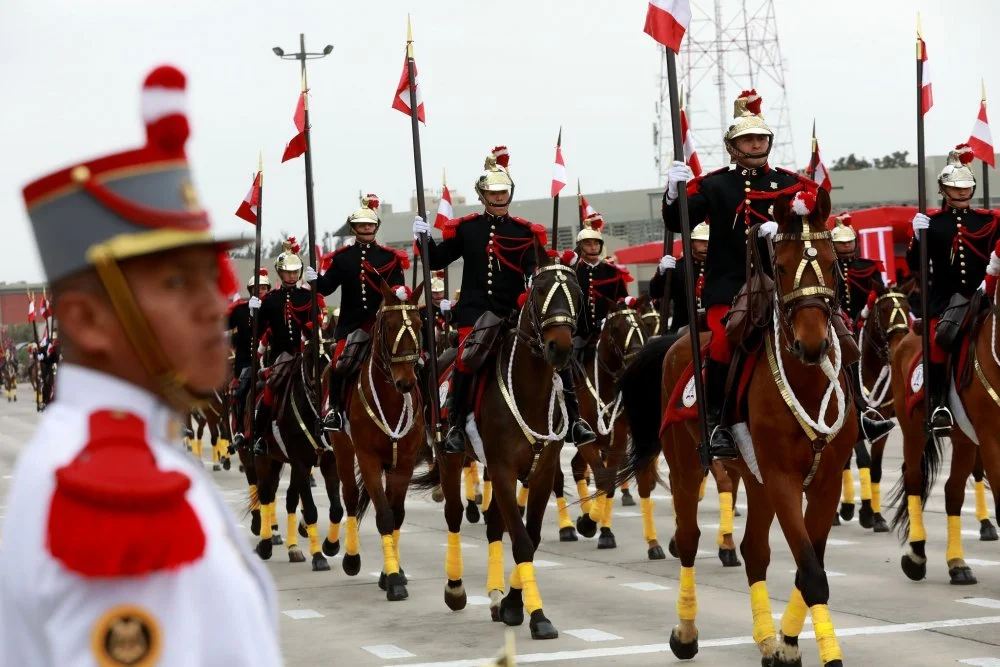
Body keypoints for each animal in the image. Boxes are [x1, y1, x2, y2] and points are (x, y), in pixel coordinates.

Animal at [332, 280, 426, 604]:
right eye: (390, 326)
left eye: (419, 324)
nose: (406, 382)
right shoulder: (368, 459)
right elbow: (384, 515)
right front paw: (394, 580)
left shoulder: (405, 462)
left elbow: (396, 515)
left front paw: (392, 572)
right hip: (342, 446)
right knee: (349, 496)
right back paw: (349, 558)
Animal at [414, 241, 584, 640]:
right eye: (539, 290)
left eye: (578, 293)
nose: (559, 348)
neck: (530, 389)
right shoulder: (504, 468)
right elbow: (520, 540)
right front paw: (537, 616)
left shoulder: (540, 471)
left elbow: (530, 536)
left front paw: (513, 604)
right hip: (451, 456)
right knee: (454, 515)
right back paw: (456, 589)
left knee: (493, 525)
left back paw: (493, 597)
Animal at [620, 189, 856, 667]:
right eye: (779, 266)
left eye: (831, 263)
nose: (811, 345)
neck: (806, 381)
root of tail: (676, 339)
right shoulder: (783, 479)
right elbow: (810, 570)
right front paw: (826, 653)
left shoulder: (824, 483)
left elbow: (809, 567)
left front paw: (786, 645)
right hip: (688, 467)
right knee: (688, 540)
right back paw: (686, 632)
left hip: (756, 480)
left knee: (755, 551)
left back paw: (765, 638)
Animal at [896, 276, 1000, 584]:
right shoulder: (992, 440)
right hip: (912, 431)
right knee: (914, 479)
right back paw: (917, 555)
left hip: (965, 440)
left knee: (953, 491)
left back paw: (957, 564)